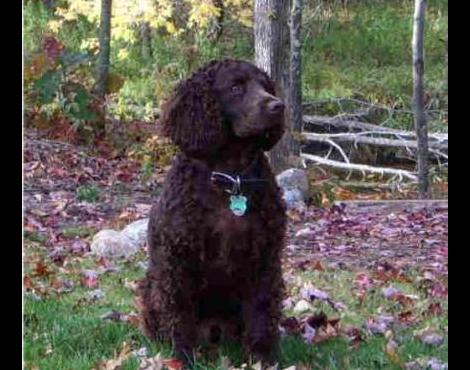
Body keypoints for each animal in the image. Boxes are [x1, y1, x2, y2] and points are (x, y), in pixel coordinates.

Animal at [140, 59, 286, 366]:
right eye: (235, 87)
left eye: (266, 86)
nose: (278, 106)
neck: (230, 177)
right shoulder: (177, 259)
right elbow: (179, 314)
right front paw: (183, 358)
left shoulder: (265, 258)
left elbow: (261, 314)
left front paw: (262, 360)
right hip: (150, 285)